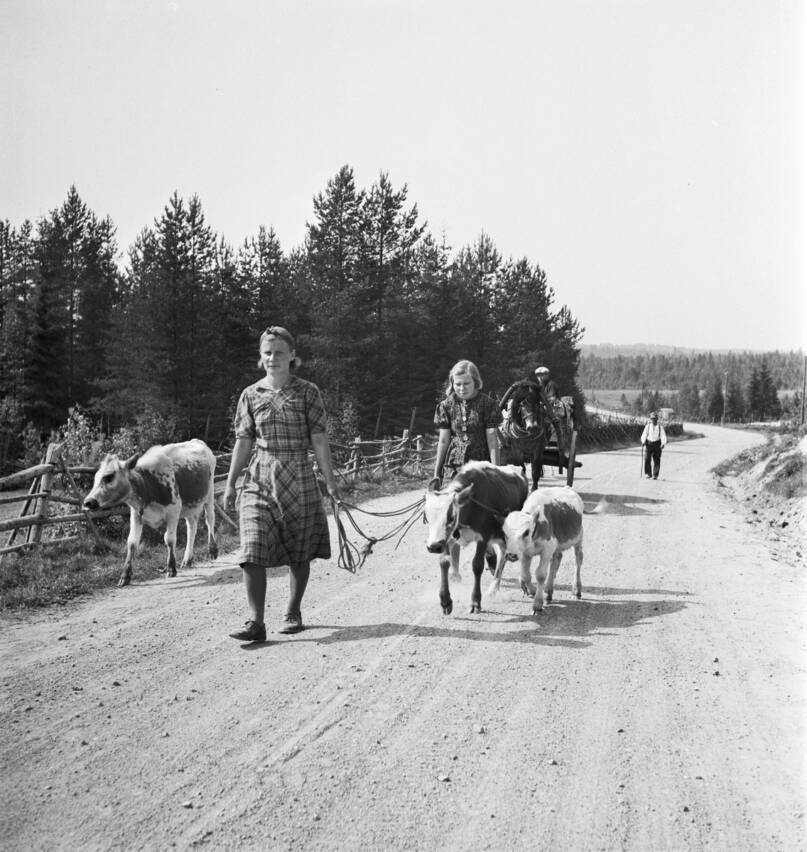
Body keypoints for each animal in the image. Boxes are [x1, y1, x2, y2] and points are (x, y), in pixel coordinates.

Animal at [84, 440, 218, 584]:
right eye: (96, 478)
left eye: (109, 477)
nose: (88, 502)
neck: (148, 484)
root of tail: (196, 441)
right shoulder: (136, 514)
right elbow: (132, 542)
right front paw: (125, 575)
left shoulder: (173, 512)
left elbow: (170, 539)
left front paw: (171, 568)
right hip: (190, 505)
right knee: (192, 527)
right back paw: (188, 559)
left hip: (209, 495)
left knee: (210, 520)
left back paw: (212, 550)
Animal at [422, 462, 532, 616]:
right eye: (427, 515)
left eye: (451, 517)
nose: (433, 547)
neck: (470, 506)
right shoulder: (448, 539)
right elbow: (444, 562)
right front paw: (445, 601)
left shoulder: (483, 537)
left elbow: (477, 565)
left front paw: (475, 601)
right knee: (502, 554)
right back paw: (494, 587)